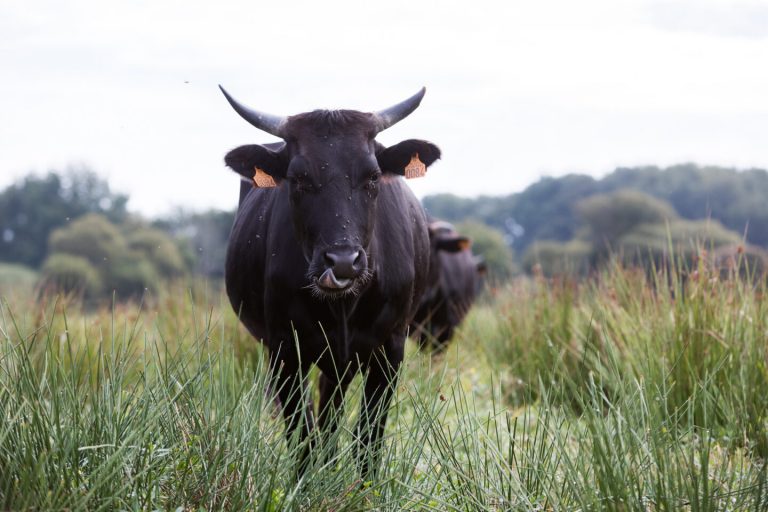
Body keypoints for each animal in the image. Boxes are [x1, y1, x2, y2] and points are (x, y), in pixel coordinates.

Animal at [219, 86, 440, 474]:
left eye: (372, 176)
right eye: (299, 179)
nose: (343, 262)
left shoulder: (391, 348)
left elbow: (368, 437)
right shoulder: (285, 349)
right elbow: (302, 436)